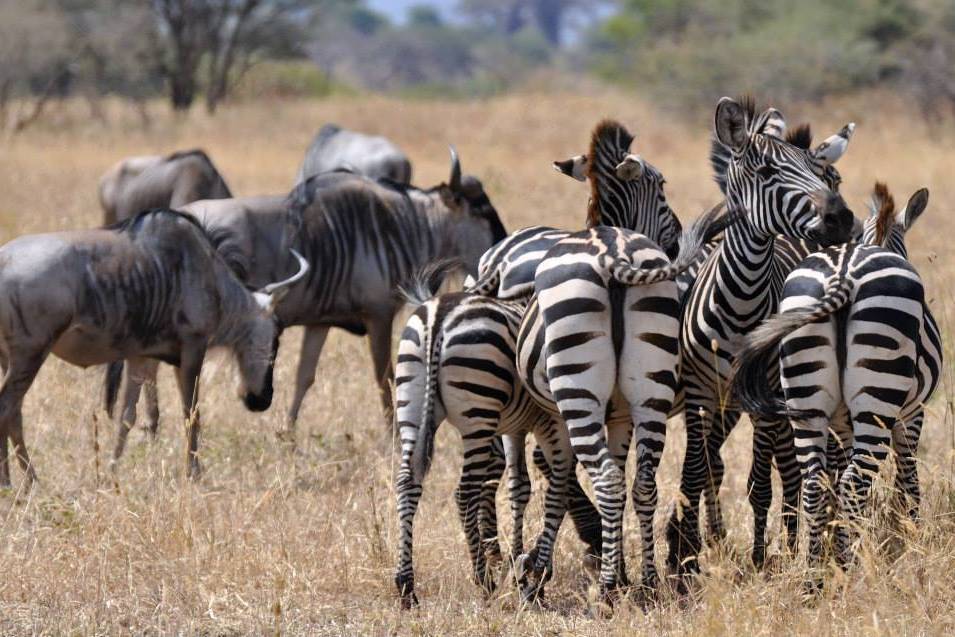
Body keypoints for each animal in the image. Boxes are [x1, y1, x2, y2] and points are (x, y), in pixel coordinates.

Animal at [664, 94, 860, 576]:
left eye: (826, 174)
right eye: (768, 171)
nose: (841, 219)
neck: (739, 301)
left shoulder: (765, 399)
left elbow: (761, 482)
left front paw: (760, 556)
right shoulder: (699, 395)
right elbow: (694, 469)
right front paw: (684, 554)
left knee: (789, 470)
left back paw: (791, 542)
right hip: (728, 403)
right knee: (720, 463)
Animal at [732, 180, 940, 576]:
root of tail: (844, 275)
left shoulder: (842, 423)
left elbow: (836, 474)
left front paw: (838, 543)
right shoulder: (912, 413)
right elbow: (907, 476)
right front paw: (909, 534)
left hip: (805, 399)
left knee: (815, 484)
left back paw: (816, 575)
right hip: (878, 395)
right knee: (855, 482)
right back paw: (850, 569)